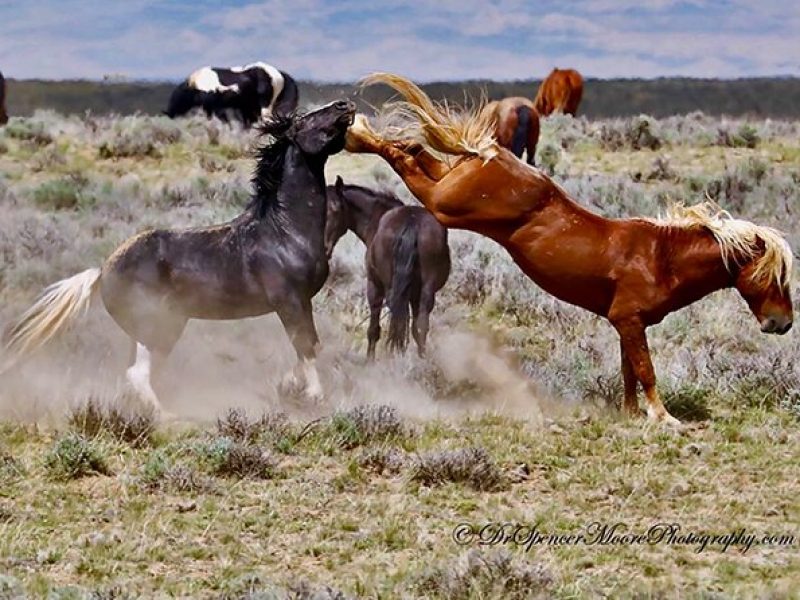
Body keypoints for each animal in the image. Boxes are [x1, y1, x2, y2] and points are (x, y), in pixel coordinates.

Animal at [324, 177, 450, 356]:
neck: (376, 218)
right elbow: (414, 328)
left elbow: (373, 330)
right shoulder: (414, 294)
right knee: (420, 326)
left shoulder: (374, 285)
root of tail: (411, 221)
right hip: (426, 289)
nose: (325, 249)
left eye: (336, 210)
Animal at [346, 72, 792, 424]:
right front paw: (664, 418)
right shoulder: (630, 321)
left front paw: (631, 414)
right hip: (443, 204)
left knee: (415, 152)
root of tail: (491, 152)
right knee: (400, 157)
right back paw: (354, 133)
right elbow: (646, 370)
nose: (783, 324)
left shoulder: (627, 324)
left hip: (446, 184)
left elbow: (629, 372)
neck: (661, 257)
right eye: (772, 276)